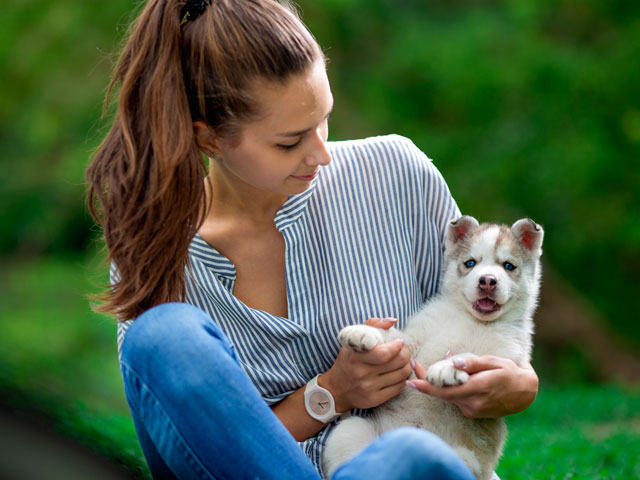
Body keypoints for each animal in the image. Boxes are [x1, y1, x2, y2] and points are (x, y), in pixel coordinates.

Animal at [324, 217, 544, 480]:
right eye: (470, 263)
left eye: (508, 266)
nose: (488, 280)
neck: (472, 320)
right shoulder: (417, 338)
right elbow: (397, 337)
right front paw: (364, 332)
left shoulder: (505, 357)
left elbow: (469, 355)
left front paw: (446, 368)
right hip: (348, 430)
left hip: (465, 461)